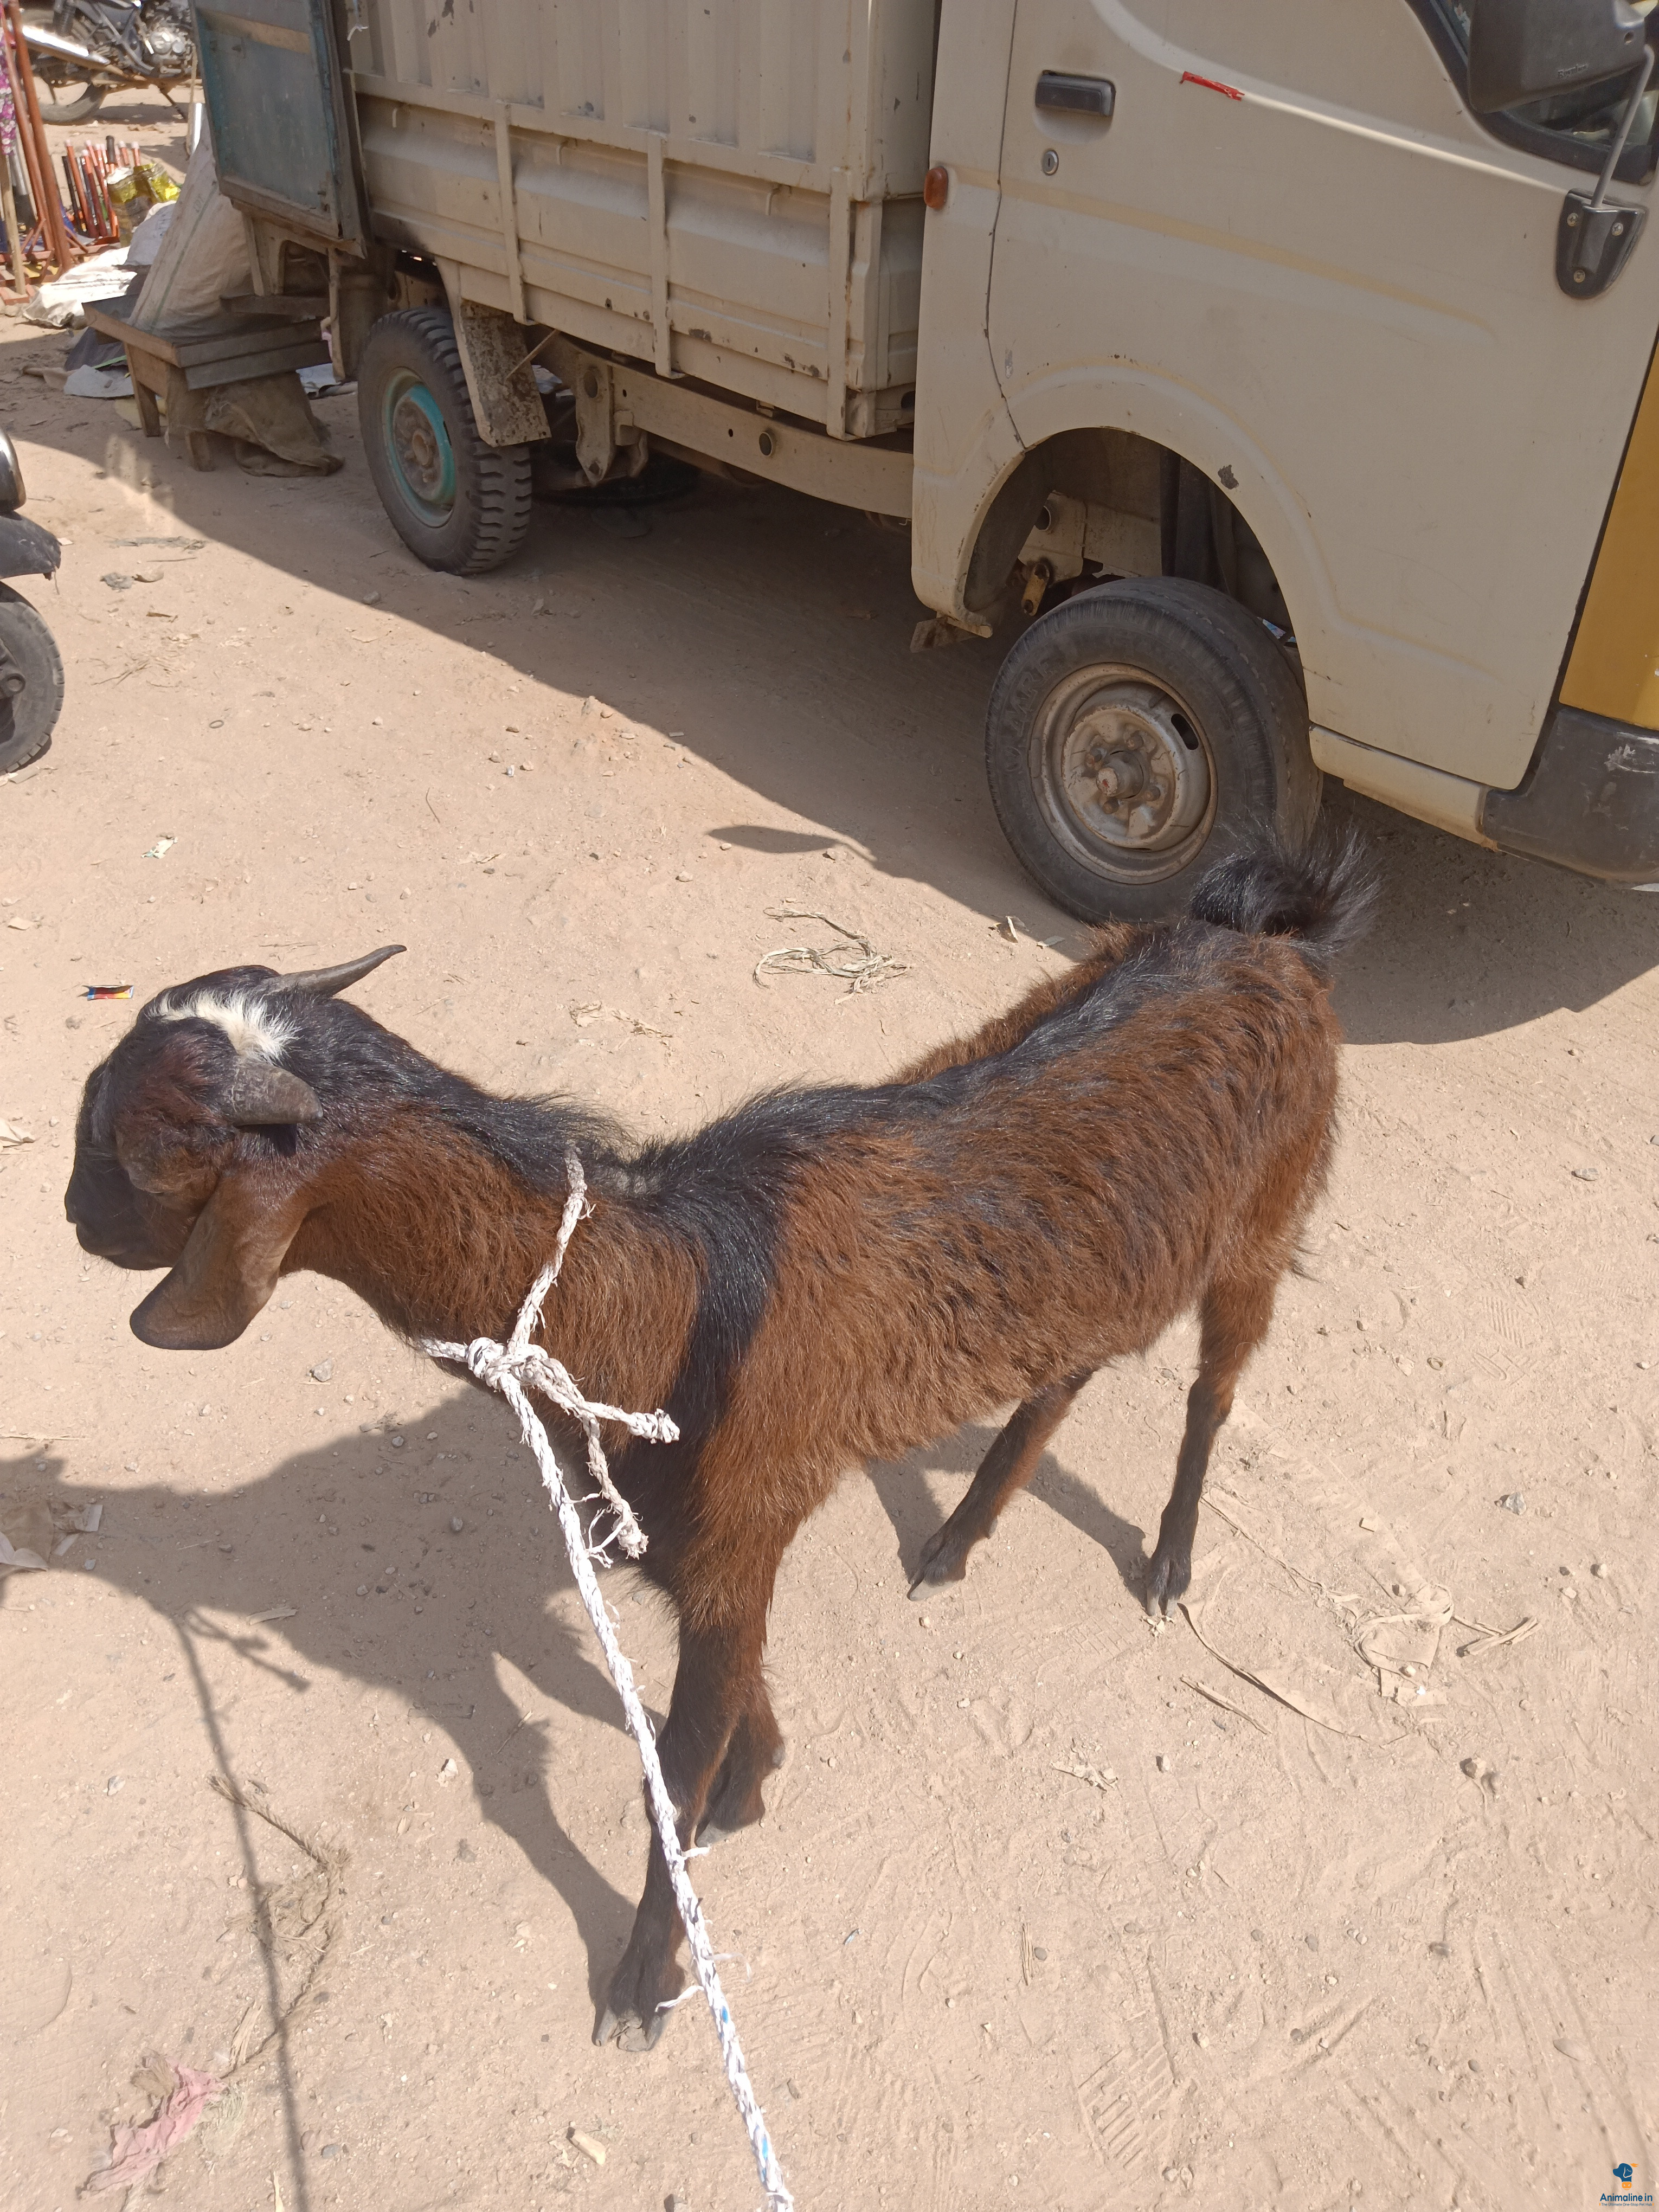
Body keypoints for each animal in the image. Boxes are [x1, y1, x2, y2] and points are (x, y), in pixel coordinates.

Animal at [65, 837, 1373, 2051]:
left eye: (137, 1148)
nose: (76, 1221)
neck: (670, 1293)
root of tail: (1255, 930)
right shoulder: (682, 1534)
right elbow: (718, 1700)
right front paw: (758, 1778)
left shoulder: (741, 1522)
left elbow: (674, 1762)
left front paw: (645, 1981)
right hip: (1112, 1262)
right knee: (1063, 1376)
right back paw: (955, 1540)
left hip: (1265, 1217)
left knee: (1214, 1388)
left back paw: (1168, 1562)